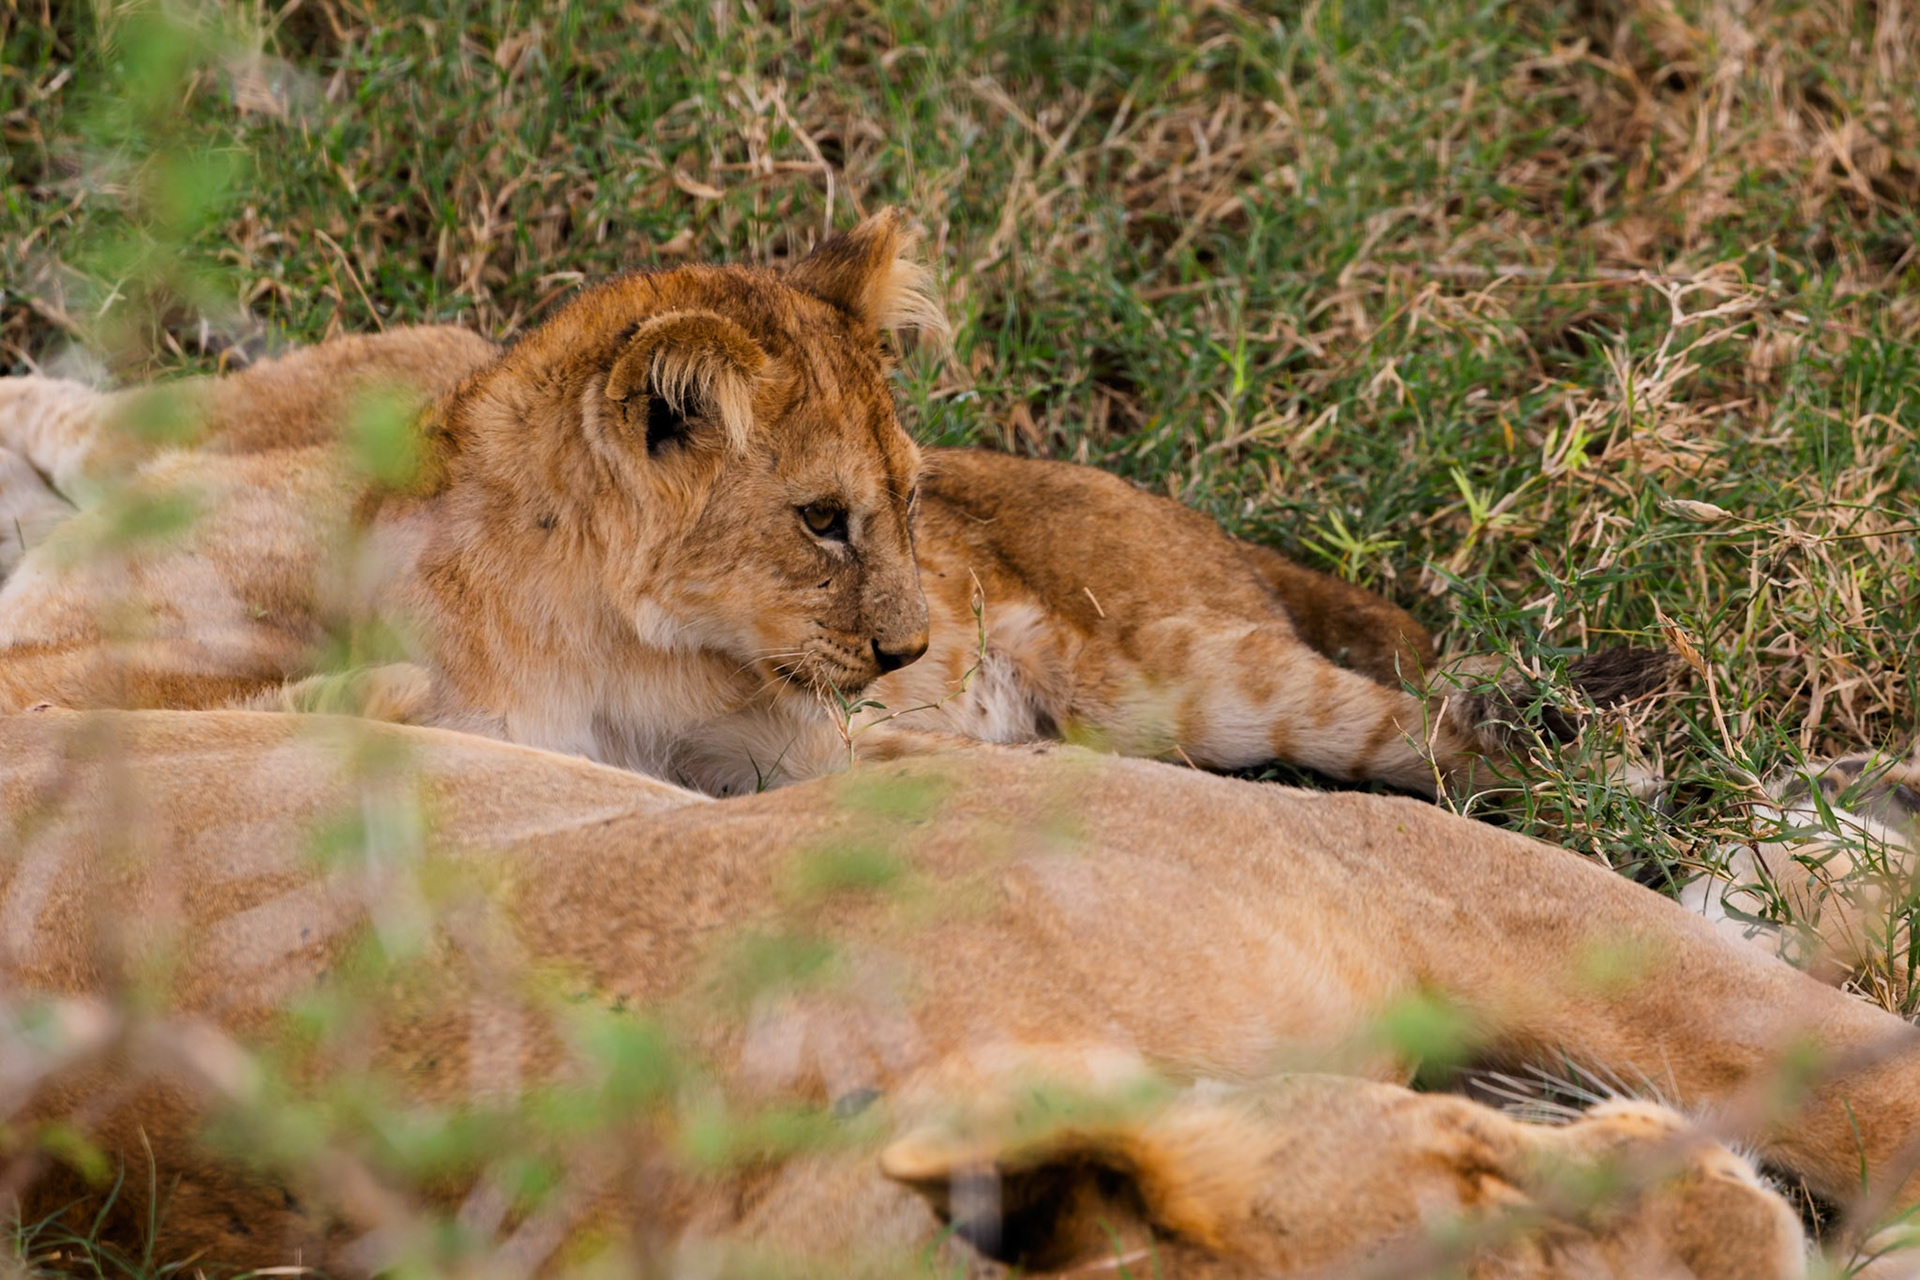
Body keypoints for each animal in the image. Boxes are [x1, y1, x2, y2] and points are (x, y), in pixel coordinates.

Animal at [0, 210, 1661, 799]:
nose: (922, 652)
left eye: (907, 502)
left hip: (1219, 673)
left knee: (1437, 729)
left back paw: (1605, 775)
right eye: (820, 518)